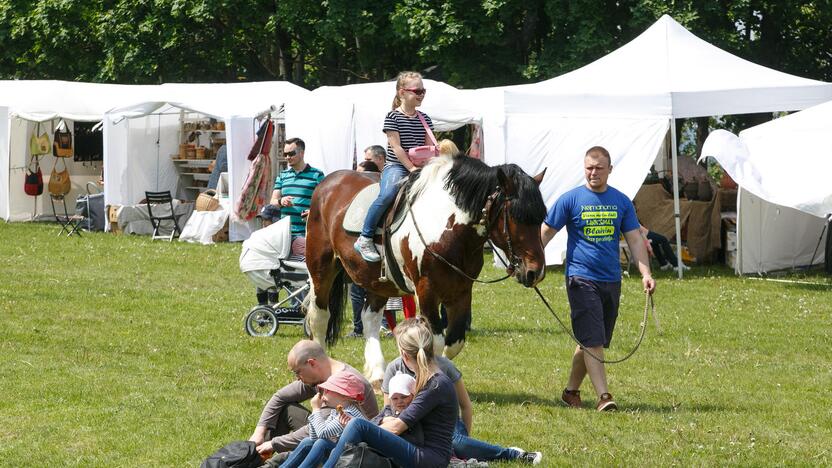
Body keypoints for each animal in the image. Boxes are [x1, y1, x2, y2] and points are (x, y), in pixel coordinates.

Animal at [302, 153, 548, 384]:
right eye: (515, 216)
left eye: (541, 217)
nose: (535, 272)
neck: (448, 229)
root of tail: (327, 183)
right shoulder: (427, 291)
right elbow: (434, 343)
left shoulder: (461, 291)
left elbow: (454, 343)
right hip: (321, 270)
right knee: (320, 317)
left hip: (377, 281)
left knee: (370, 318)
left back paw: (378, 373)